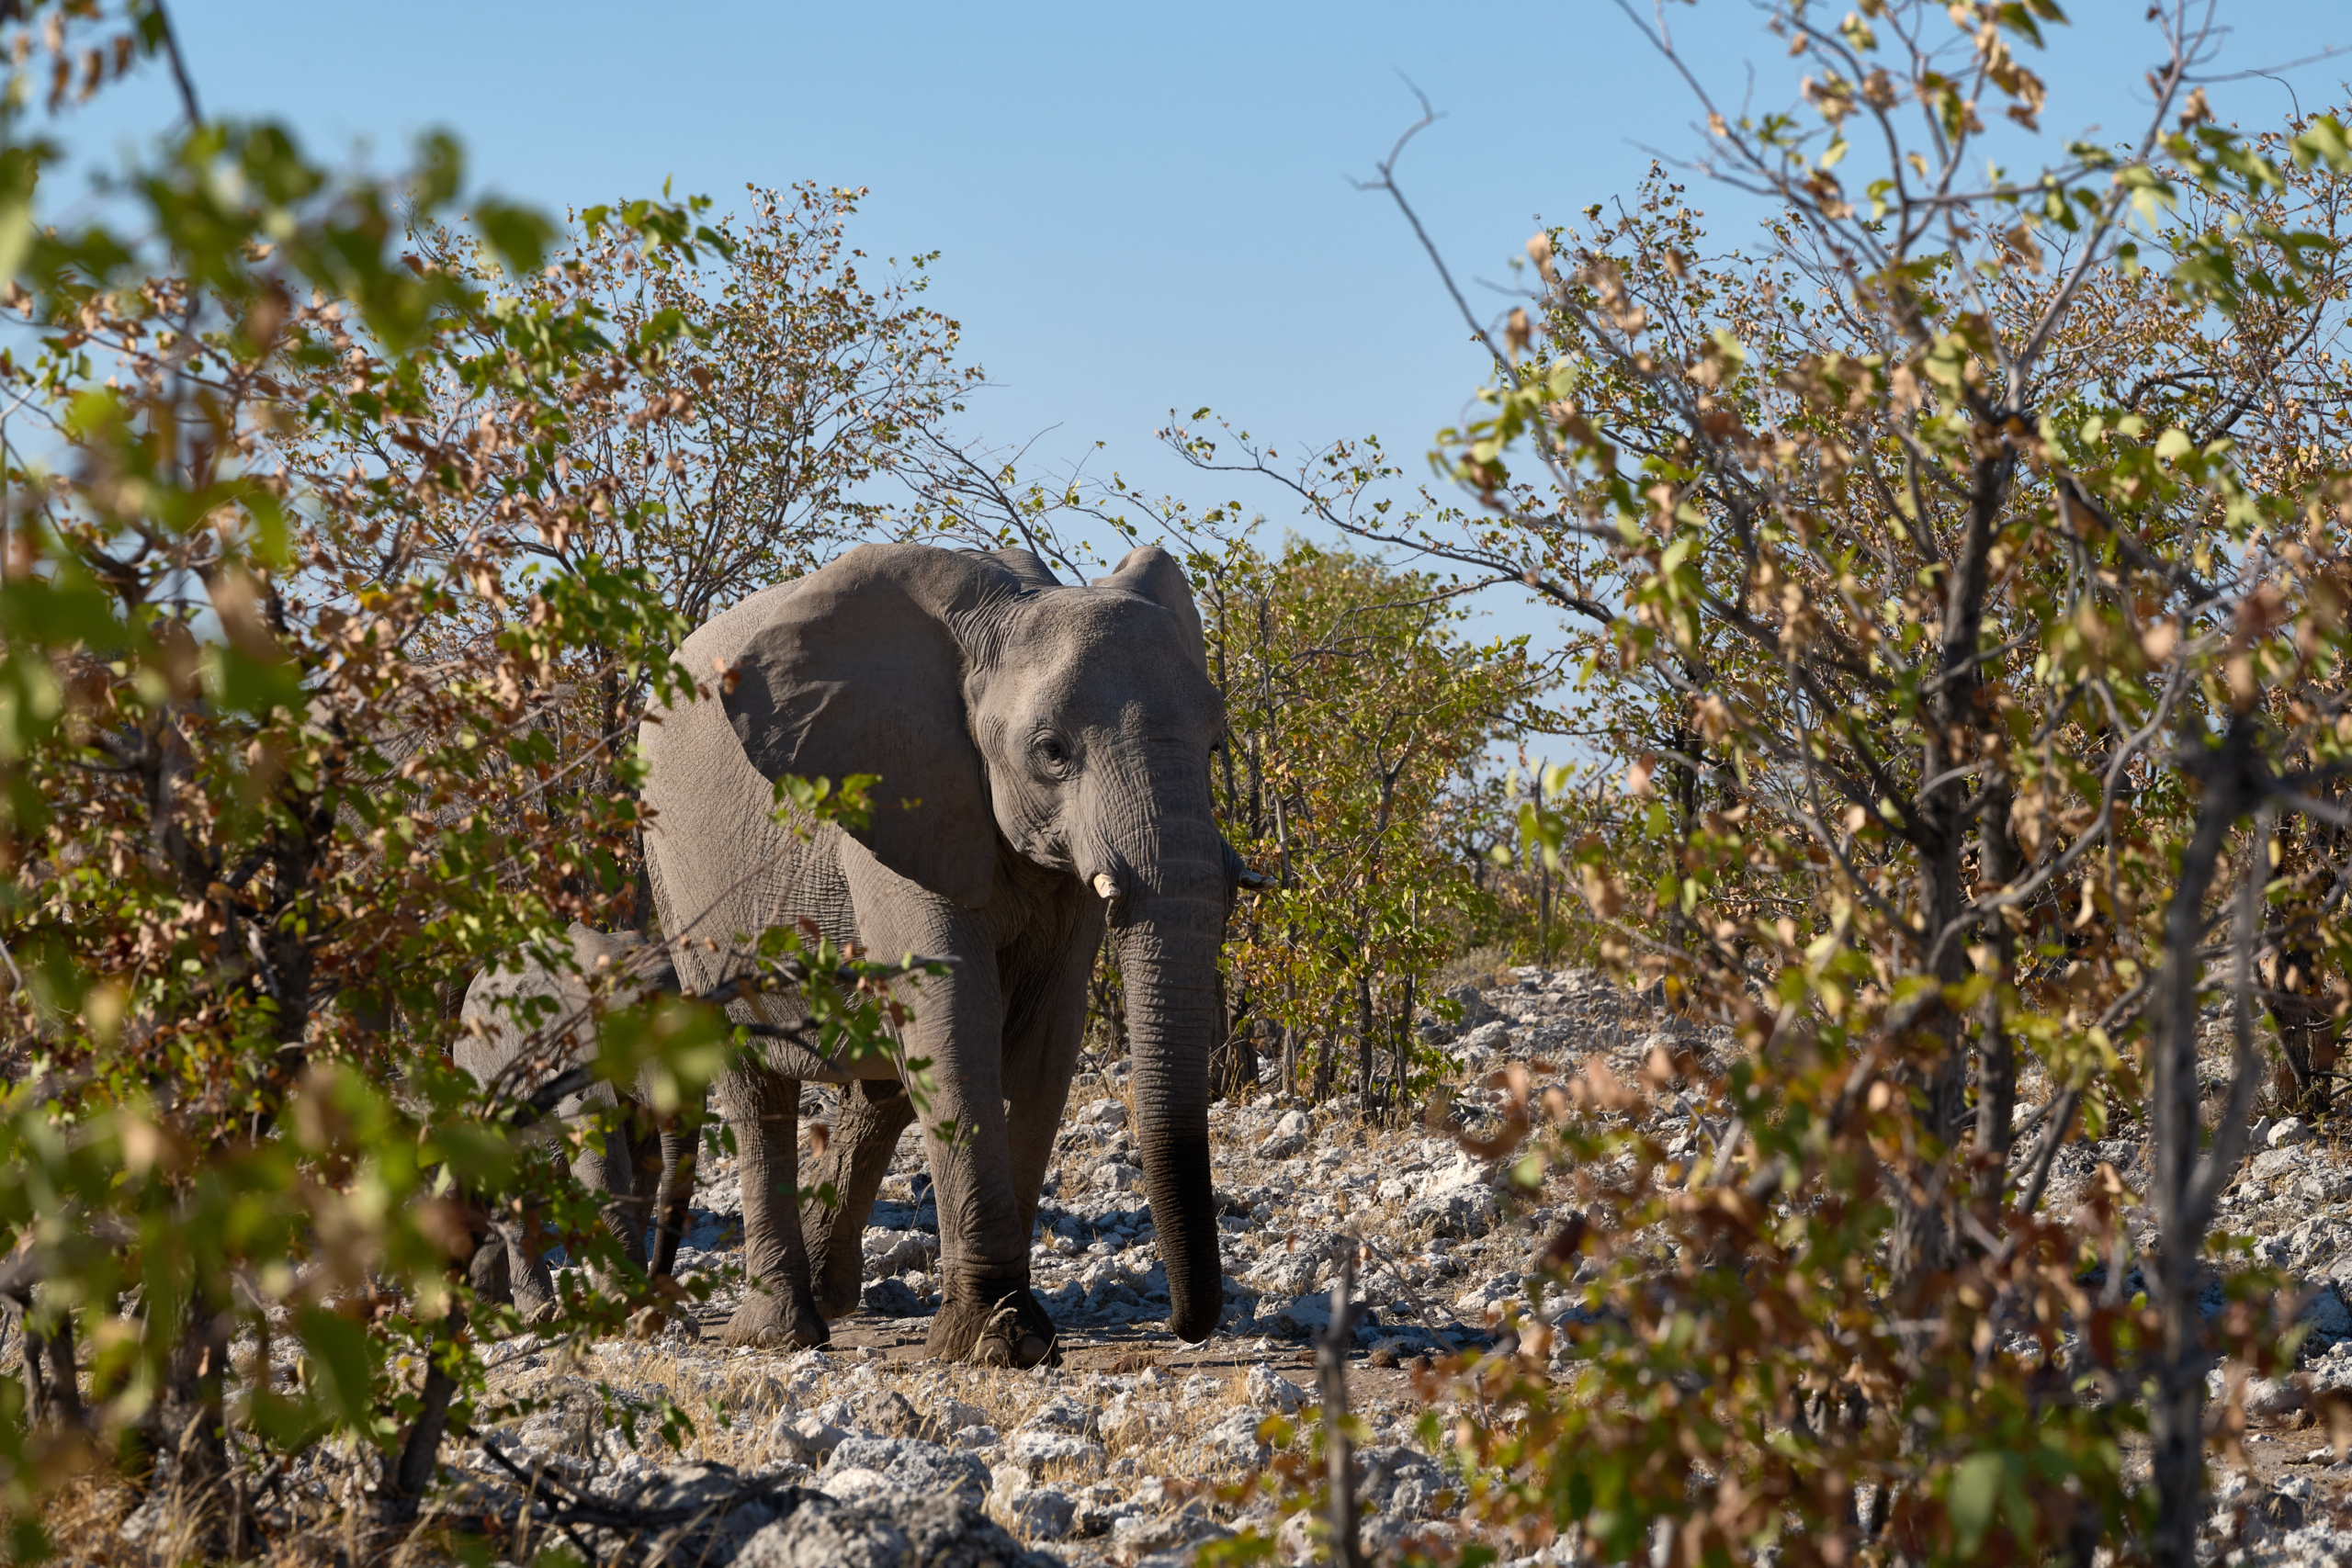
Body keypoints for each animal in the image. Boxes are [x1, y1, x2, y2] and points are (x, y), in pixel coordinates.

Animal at [456, 921, 695, 1325]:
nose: (656, 1285)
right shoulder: (569, 1046)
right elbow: (600, 1148)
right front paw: (625, 1302)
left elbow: (641, 1163)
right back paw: (537, 1315)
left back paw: (492, 1308)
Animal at [635, 540, 1241, 1363]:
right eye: (1051, 752)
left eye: (1215, 744)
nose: (1185, 1327)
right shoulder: (888, 795)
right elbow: (956, 1020)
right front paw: (997, 1340)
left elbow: (1043, 1042)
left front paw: (1016, 1332)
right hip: (673, 870)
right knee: (755, 1085)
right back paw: (782, 1332)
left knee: (881, 1088)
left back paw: (831, 1298)